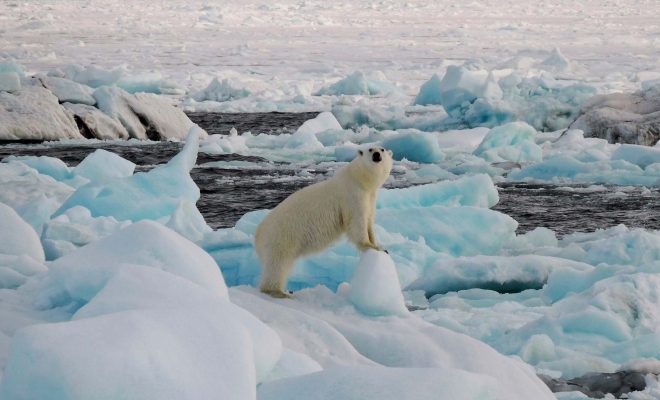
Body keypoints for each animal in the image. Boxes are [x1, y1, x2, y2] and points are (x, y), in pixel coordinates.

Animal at [255, 146, 392, 296]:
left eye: (382, 149)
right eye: (370, 149)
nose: (377, 155)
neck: (358, 179)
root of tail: (258, 235)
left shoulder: (369, 197)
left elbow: (368, 220)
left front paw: (380, 246)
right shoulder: (353, 196)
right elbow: (357, 222)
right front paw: (370, 245)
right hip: (280, 237)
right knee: (278, 264)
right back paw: (279, 292)